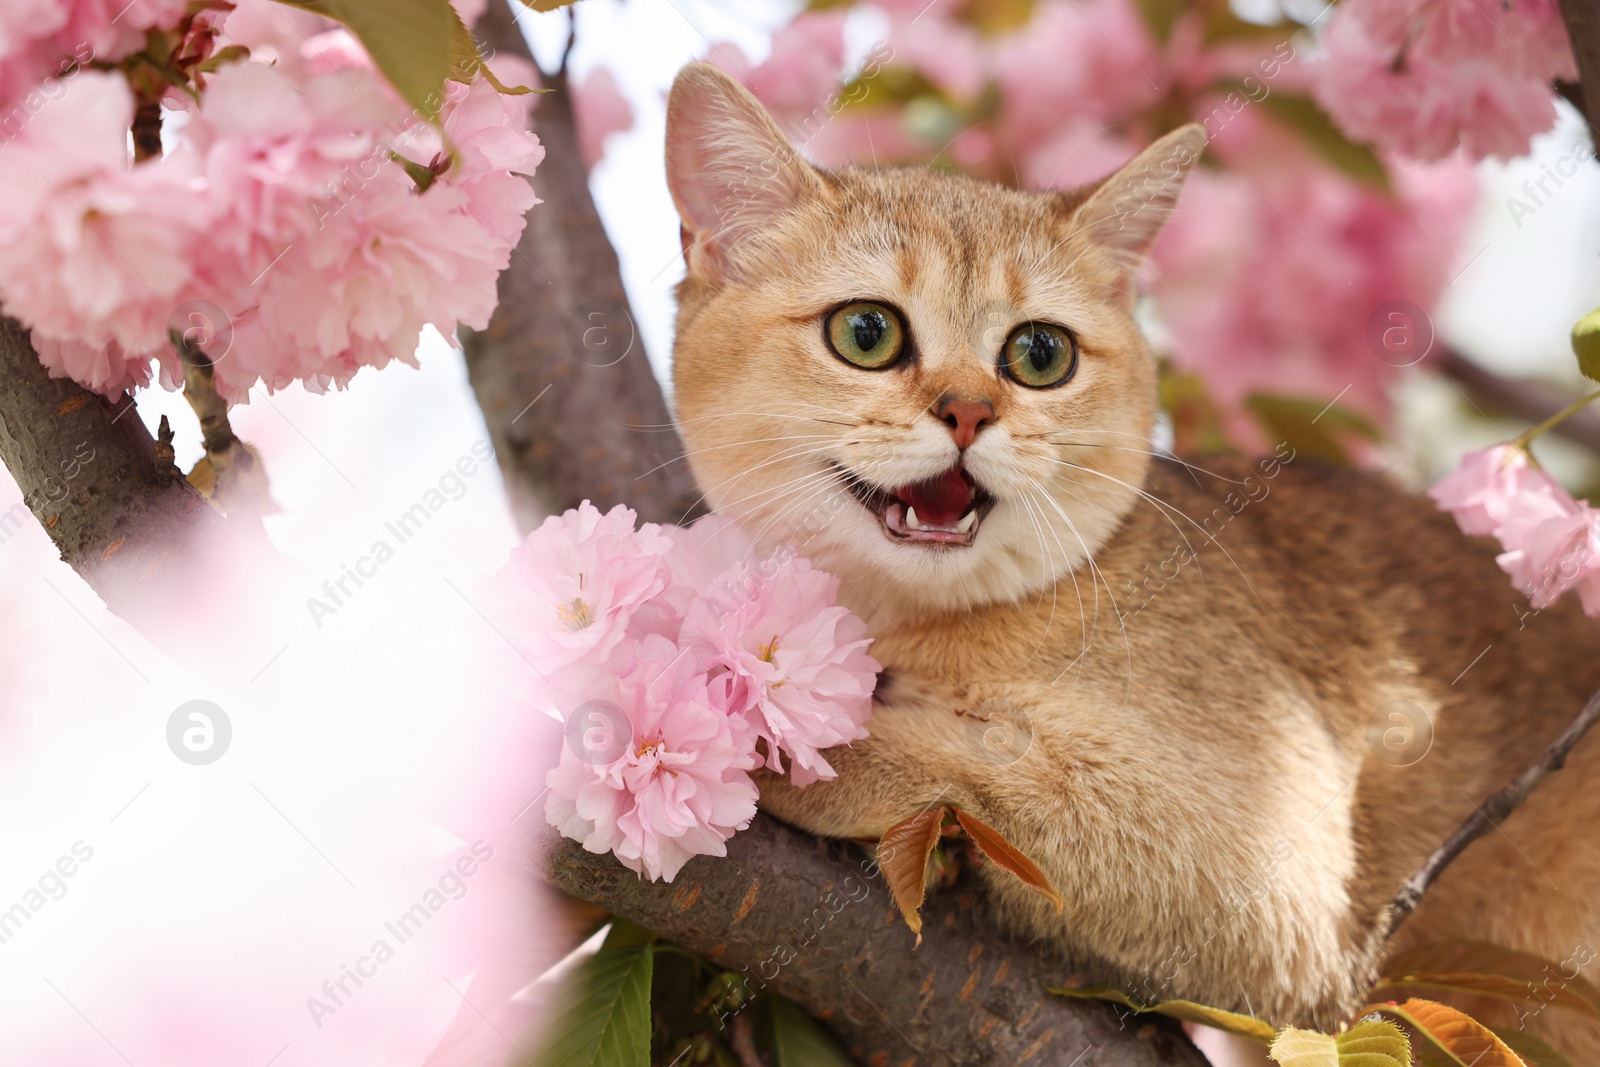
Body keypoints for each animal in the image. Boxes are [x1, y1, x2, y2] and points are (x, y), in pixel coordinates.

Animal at [659, 60, 1600, 1062]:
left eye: (1040, 353)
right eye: (866, 332)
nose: (967, 410)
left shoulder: (1275, 879)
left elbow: (969, 762)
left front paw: (764, 742)